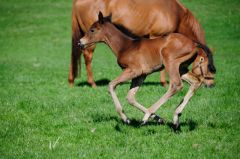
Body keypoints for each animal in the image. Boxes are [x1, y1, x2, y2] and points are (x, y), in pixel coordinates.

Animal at [79, 13, 216, 129]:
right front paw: (159, 119)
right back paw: (176, 118)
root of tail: (194, 43)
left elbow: (111, 85)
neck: (126, 46)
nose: (80, 42)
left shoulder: (133, 70)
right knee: (195, 82)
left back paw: (147, 116)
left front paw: (125, 118)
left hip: (171, 63)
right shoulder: (141, 75)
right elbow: (130, 97)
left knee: (176, 85)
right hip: (181, 68)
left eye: (92, 30)